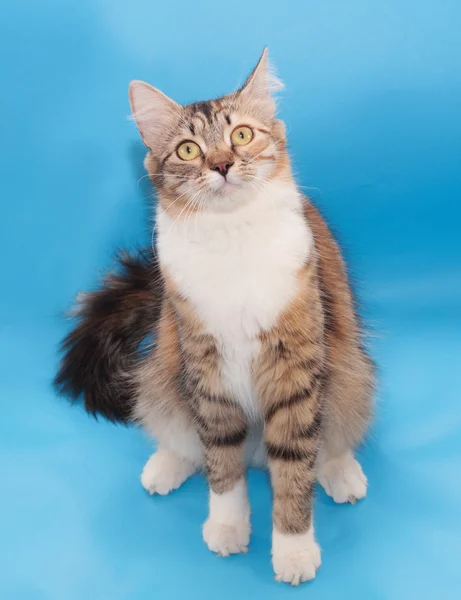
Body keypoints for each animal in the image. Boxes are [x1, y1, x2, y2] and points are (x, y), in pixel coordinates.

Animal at [55, 49, 376, 584]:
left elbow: (295, 468)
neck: (232, 237)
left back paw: (341, 472)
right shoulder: (206, 369)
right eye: (188, 150)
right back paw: (165, 466)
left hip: (352, 373)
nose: (222, 165)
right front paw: (228, 527)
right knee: (188, 440)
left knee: (330, 439)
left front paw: (293, 550)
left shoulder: (294, 367)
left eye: (242, 136)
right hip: (163, 374)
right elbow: (222, 465)